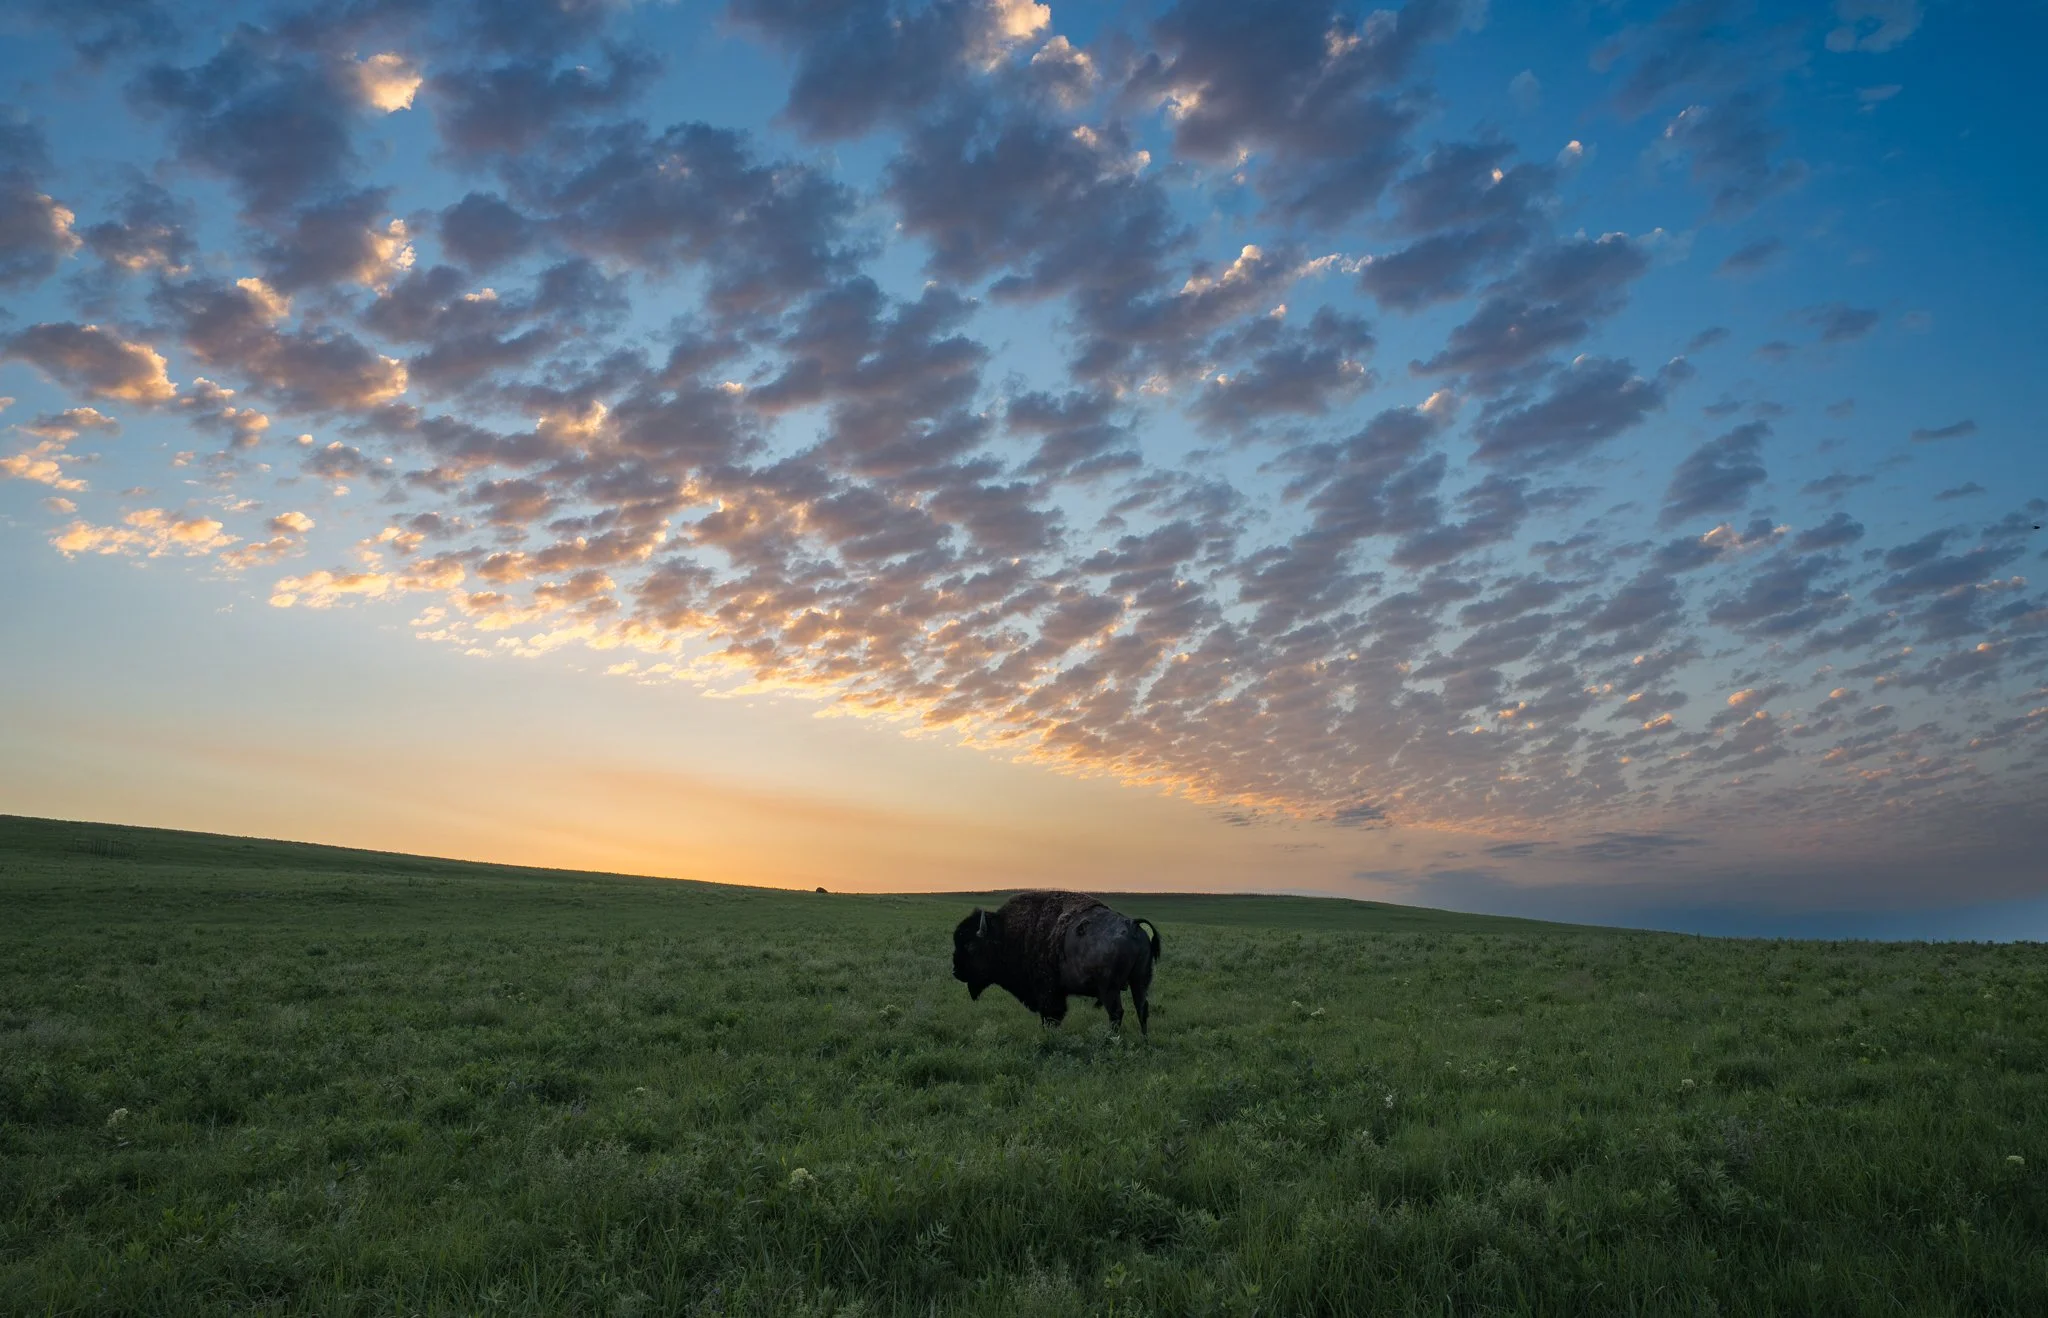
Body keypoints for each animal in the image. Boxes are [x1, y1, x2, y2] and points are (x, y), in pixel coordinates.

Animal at [952, 891, 1161, 1034]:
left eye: (970, 945)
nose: (956, 971)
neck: (1006, 934)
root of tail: (1133, 925)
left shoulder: (1048, 992)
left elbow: (1051, 1017)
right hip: (1140, 981)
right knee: (1142, 1008)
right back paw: (1144, 1040)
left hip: (1109, 988)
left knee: (1116, 1013)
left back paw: (1111, 1040)